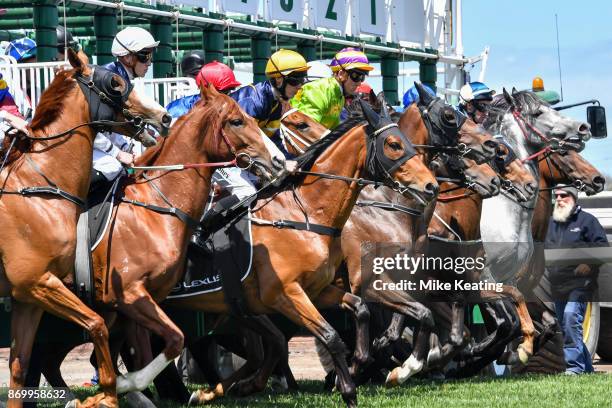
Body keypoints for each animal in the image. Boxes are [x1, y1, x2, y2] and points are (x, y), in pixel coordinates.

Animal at [0, 49, 170, 408]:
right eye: (116, 82)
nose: (163, 117)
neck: (40, 189)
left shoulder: (28, 296)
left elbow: (20, 367)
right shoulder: (39, 282)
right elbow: (97, 325)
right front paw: (109, 392)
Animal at [165, 103, 438, 406]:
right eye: (393, 144)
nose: (431, 185)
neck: (306, 214)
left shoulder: (319, 289)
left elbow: (388, 312)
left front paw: (390, 367)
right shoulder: (289, 292)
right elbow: (334, 336)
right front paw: (352, 384)